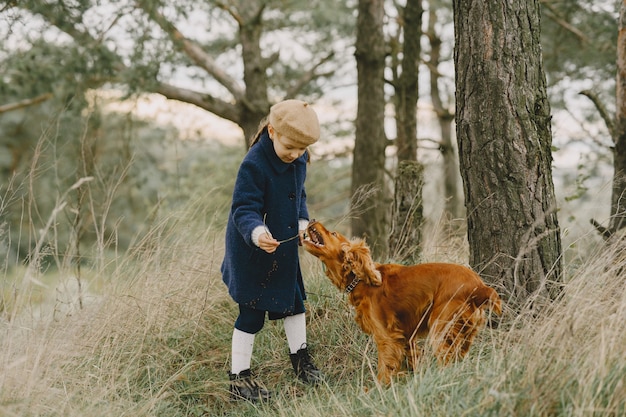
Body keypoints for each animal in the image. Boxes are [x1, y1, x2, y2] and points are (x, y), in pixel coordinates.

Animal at [300, 221, 500, 384]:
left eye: (333, 233)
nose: (311, 220)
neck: (361, 280)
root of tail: (480, 286)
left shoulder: (387, 338)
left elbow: (384, 368)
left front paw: (378, 390)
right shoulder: (406, 337)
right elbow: (411, 361)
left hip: (441, 328)